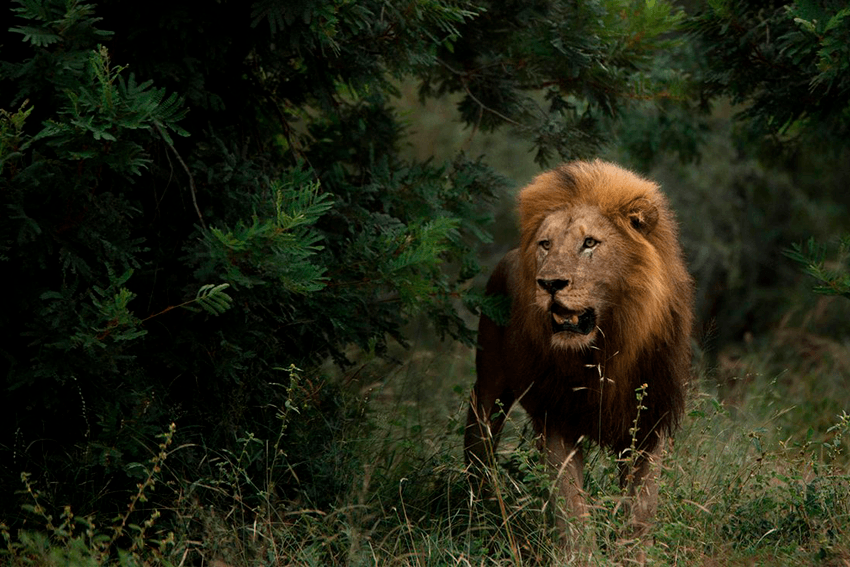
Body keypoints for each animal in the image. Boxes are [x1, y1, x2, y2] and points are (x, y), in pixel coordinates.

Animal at [468, 159, 692, 540]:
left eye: (589, 243)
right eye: (545, 244)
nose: (550, 284)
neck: (605, 347)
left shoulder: (650, 420)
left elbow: (641, 510)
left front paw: (633, 551)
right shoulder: (556, 417)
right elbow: (571, 507)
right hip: (490, 386)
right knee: (479, 444)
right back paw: (477, 510)